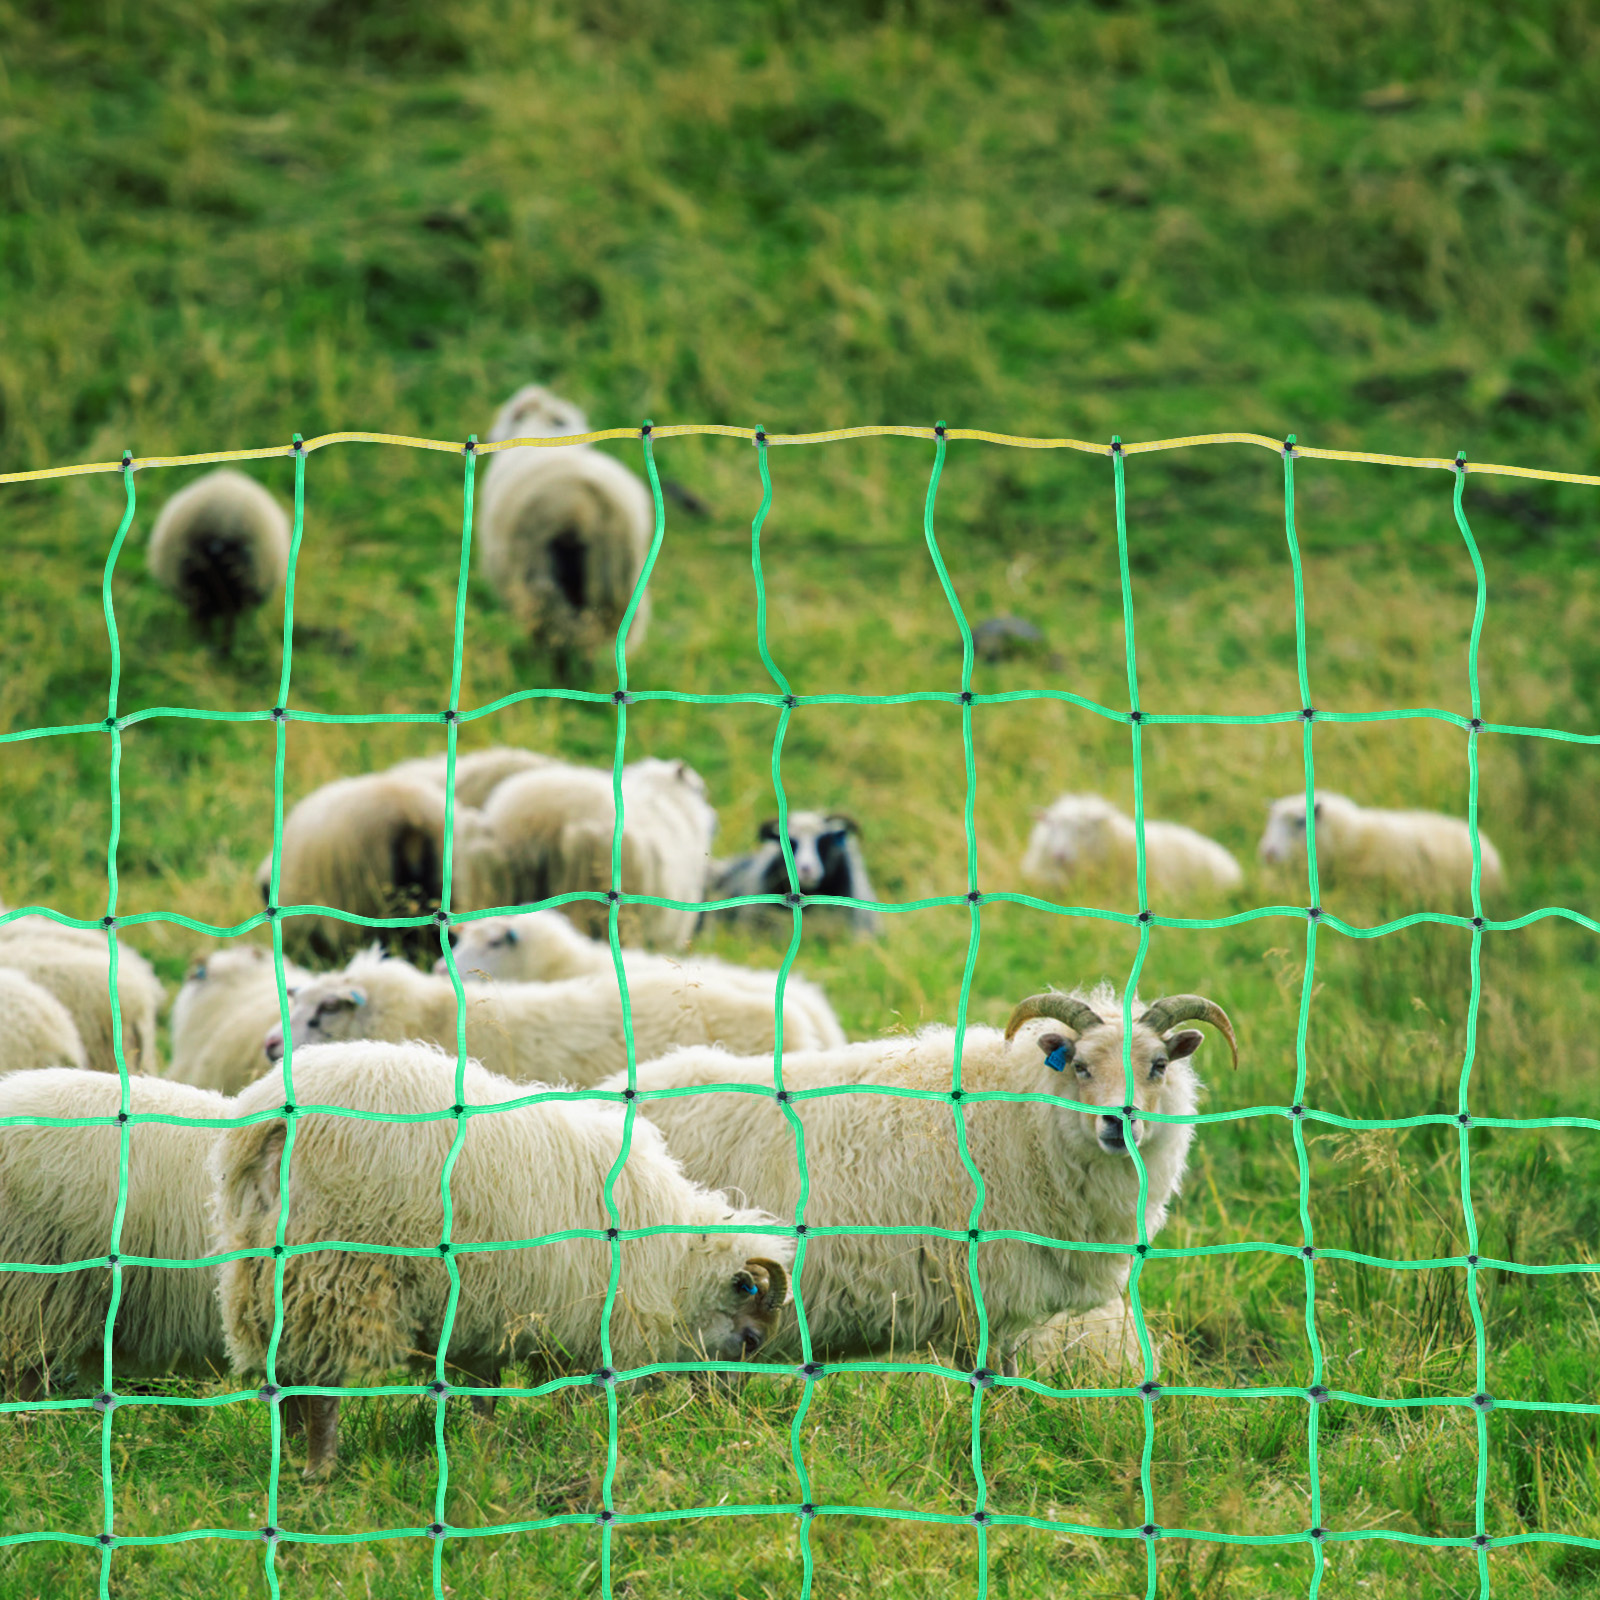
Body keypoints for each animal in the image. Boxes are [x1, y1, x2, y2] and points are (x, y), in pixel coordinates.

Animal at [212, 1040, 793, 1477]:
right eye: (751, 1340)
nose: (725, 1416)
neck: (671, 1263)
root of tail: (269, 1123)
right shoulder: (559, 1314)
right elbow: (549, 1394)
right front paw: (548, 1440)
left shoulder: (485, 1311)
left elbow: (483, 1390)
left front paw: (481, 1449)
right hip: (338, 1265)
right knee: (319, 1383)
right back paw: (320, 1467)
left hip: (261, 1270)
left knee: (285, 1369)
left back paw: (289, 1457)